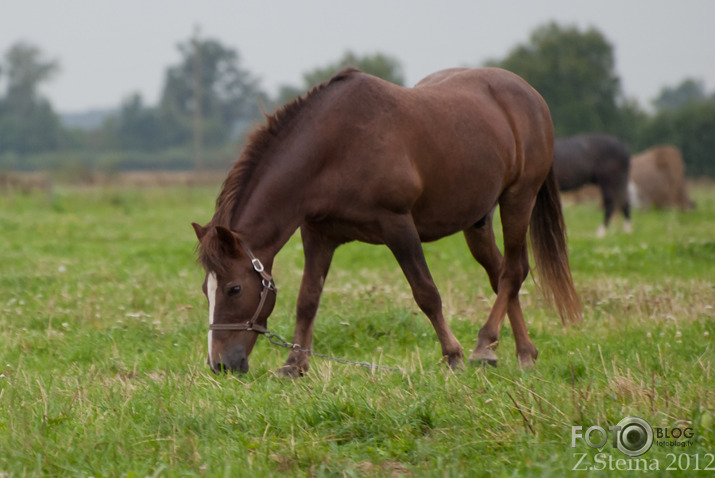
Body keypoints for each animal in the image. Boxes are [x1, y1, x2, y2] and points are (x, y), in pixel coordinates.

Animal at [190, 67, 580, 376]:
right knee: (500, 275)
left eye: (234, 289)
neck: (335, 147)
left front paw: (452, 355)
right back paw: (522, 352)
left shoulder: (398, 227)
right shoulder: (318, 235)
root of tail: (530, 95)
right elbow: (307, 300)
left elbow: (426, 293)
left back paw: (484, 347)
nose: (220, 365)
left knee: (513, 270)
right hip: (477, 221)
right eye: (205, 290)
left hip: (518, 198)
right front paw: (294, 364)